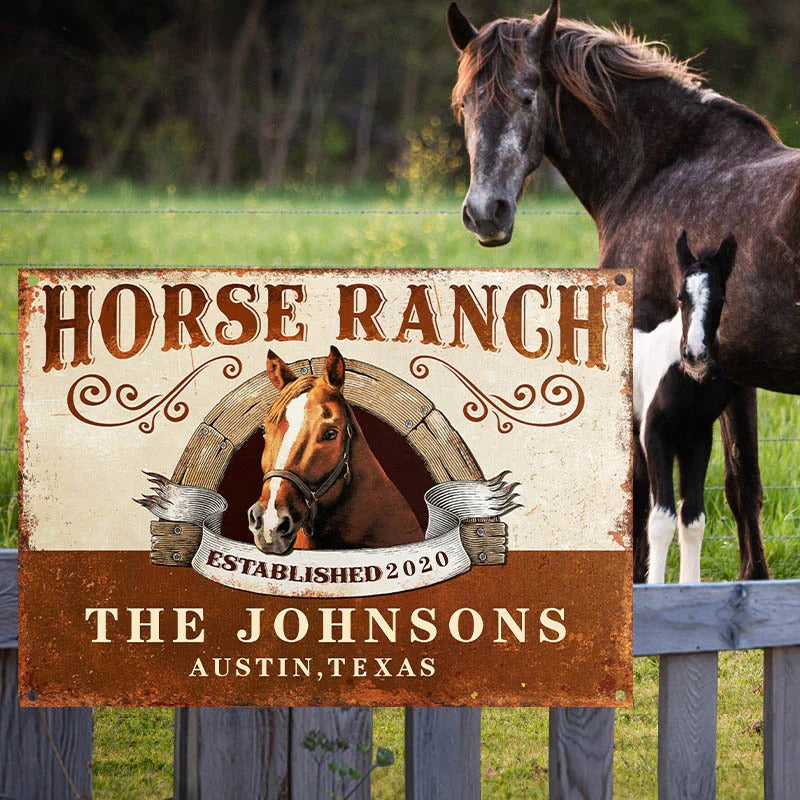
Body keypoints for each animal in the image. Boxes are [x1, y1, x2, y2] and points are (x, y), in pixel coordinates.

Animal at [632, 231, 736, 580]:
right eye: (681, 297)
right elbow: (661, 518)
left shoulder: (698, 439)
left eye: (719, 299)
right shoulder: (655, 436)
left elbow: (692, 517)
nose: (695, 354)